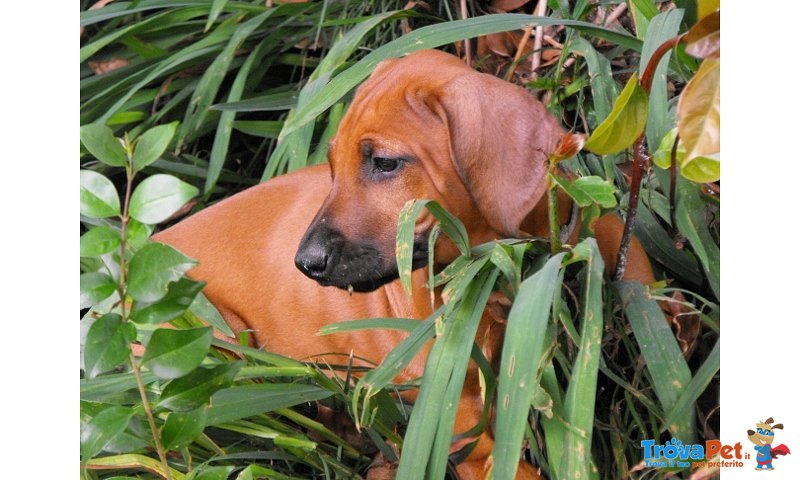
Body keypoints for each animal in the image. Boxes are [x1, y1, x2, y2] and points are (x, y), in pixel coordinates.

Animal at [153, 49, 652, 480]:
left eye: (384, 163)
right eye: (332, 165)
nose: (305, 263)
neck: (495, 268)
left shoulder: (601, 231)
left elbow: (639, 274)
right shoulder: (461, 423)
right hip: (215, 338)